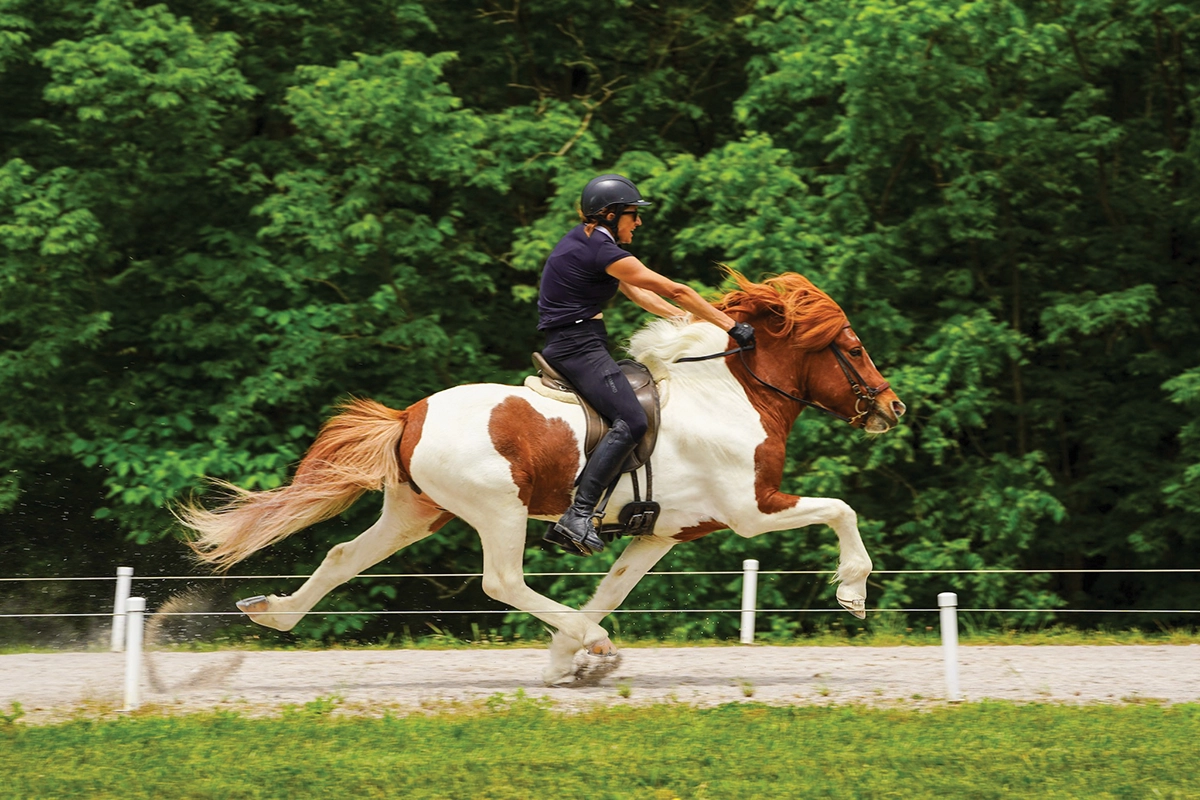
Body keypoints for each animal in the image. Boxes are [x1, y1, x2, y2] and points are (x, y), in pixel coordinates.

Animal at [178, 272, 906, 685]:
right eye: (854, 347)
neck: (728, 394)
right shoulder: (754, 508)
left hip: (417, 513)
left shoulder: (663, 533)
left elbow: (612, 589)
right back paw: (597, 645)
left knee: (341, 556)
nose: (894, 408)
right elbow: (841, 509)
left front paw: (563, 659)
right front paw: (852, 593)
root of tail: (410, 415)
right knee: (501, 581)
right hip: (499, 509)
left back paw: (274, 612)